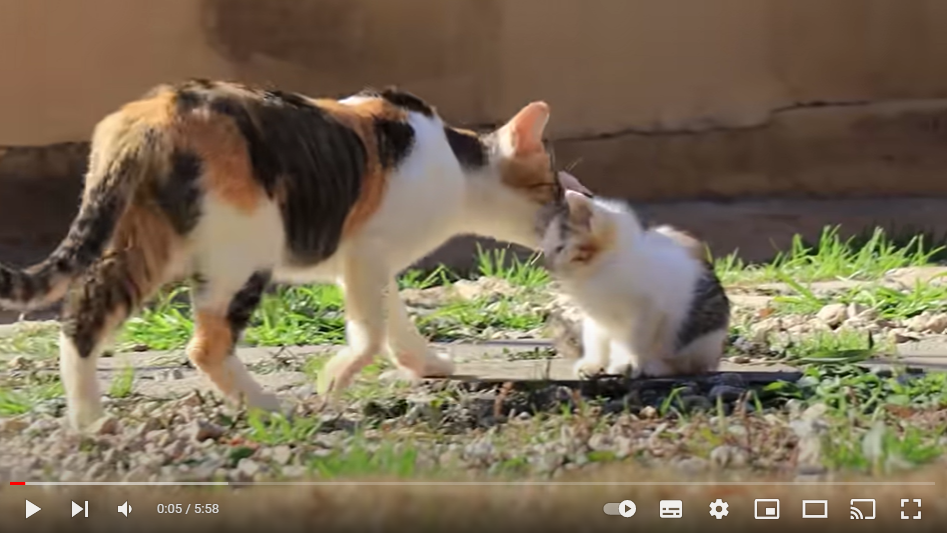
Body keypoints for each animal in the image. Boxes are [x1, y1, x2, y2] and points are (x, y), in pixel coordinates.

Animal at [0, 79, 589, 431]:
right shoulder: (365, 252)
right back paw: (267, 407)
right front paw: (334, 379)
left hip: (137, 243)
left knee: (83, 317)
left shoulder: (367, 262)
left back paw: (89, 421)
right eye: (553, 190)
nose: (572, 209)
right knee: (205, 346)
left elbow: (394, 319)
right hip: (243, 251)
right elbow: (370, 332)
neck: (455, 169)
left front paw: (426, 364)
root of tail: (154, 111)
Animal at [539, 186, 730, 379]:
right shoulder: (595, 319)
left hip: (700, 338)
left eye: (560, 248)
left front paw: (626, 364)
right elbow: (596, 341)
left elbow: (634, 341)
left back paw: (655, 367)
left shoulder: (648, 311)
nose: (547, 265)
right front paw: (592, 365)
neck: (600, 270)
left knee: (685, 364)